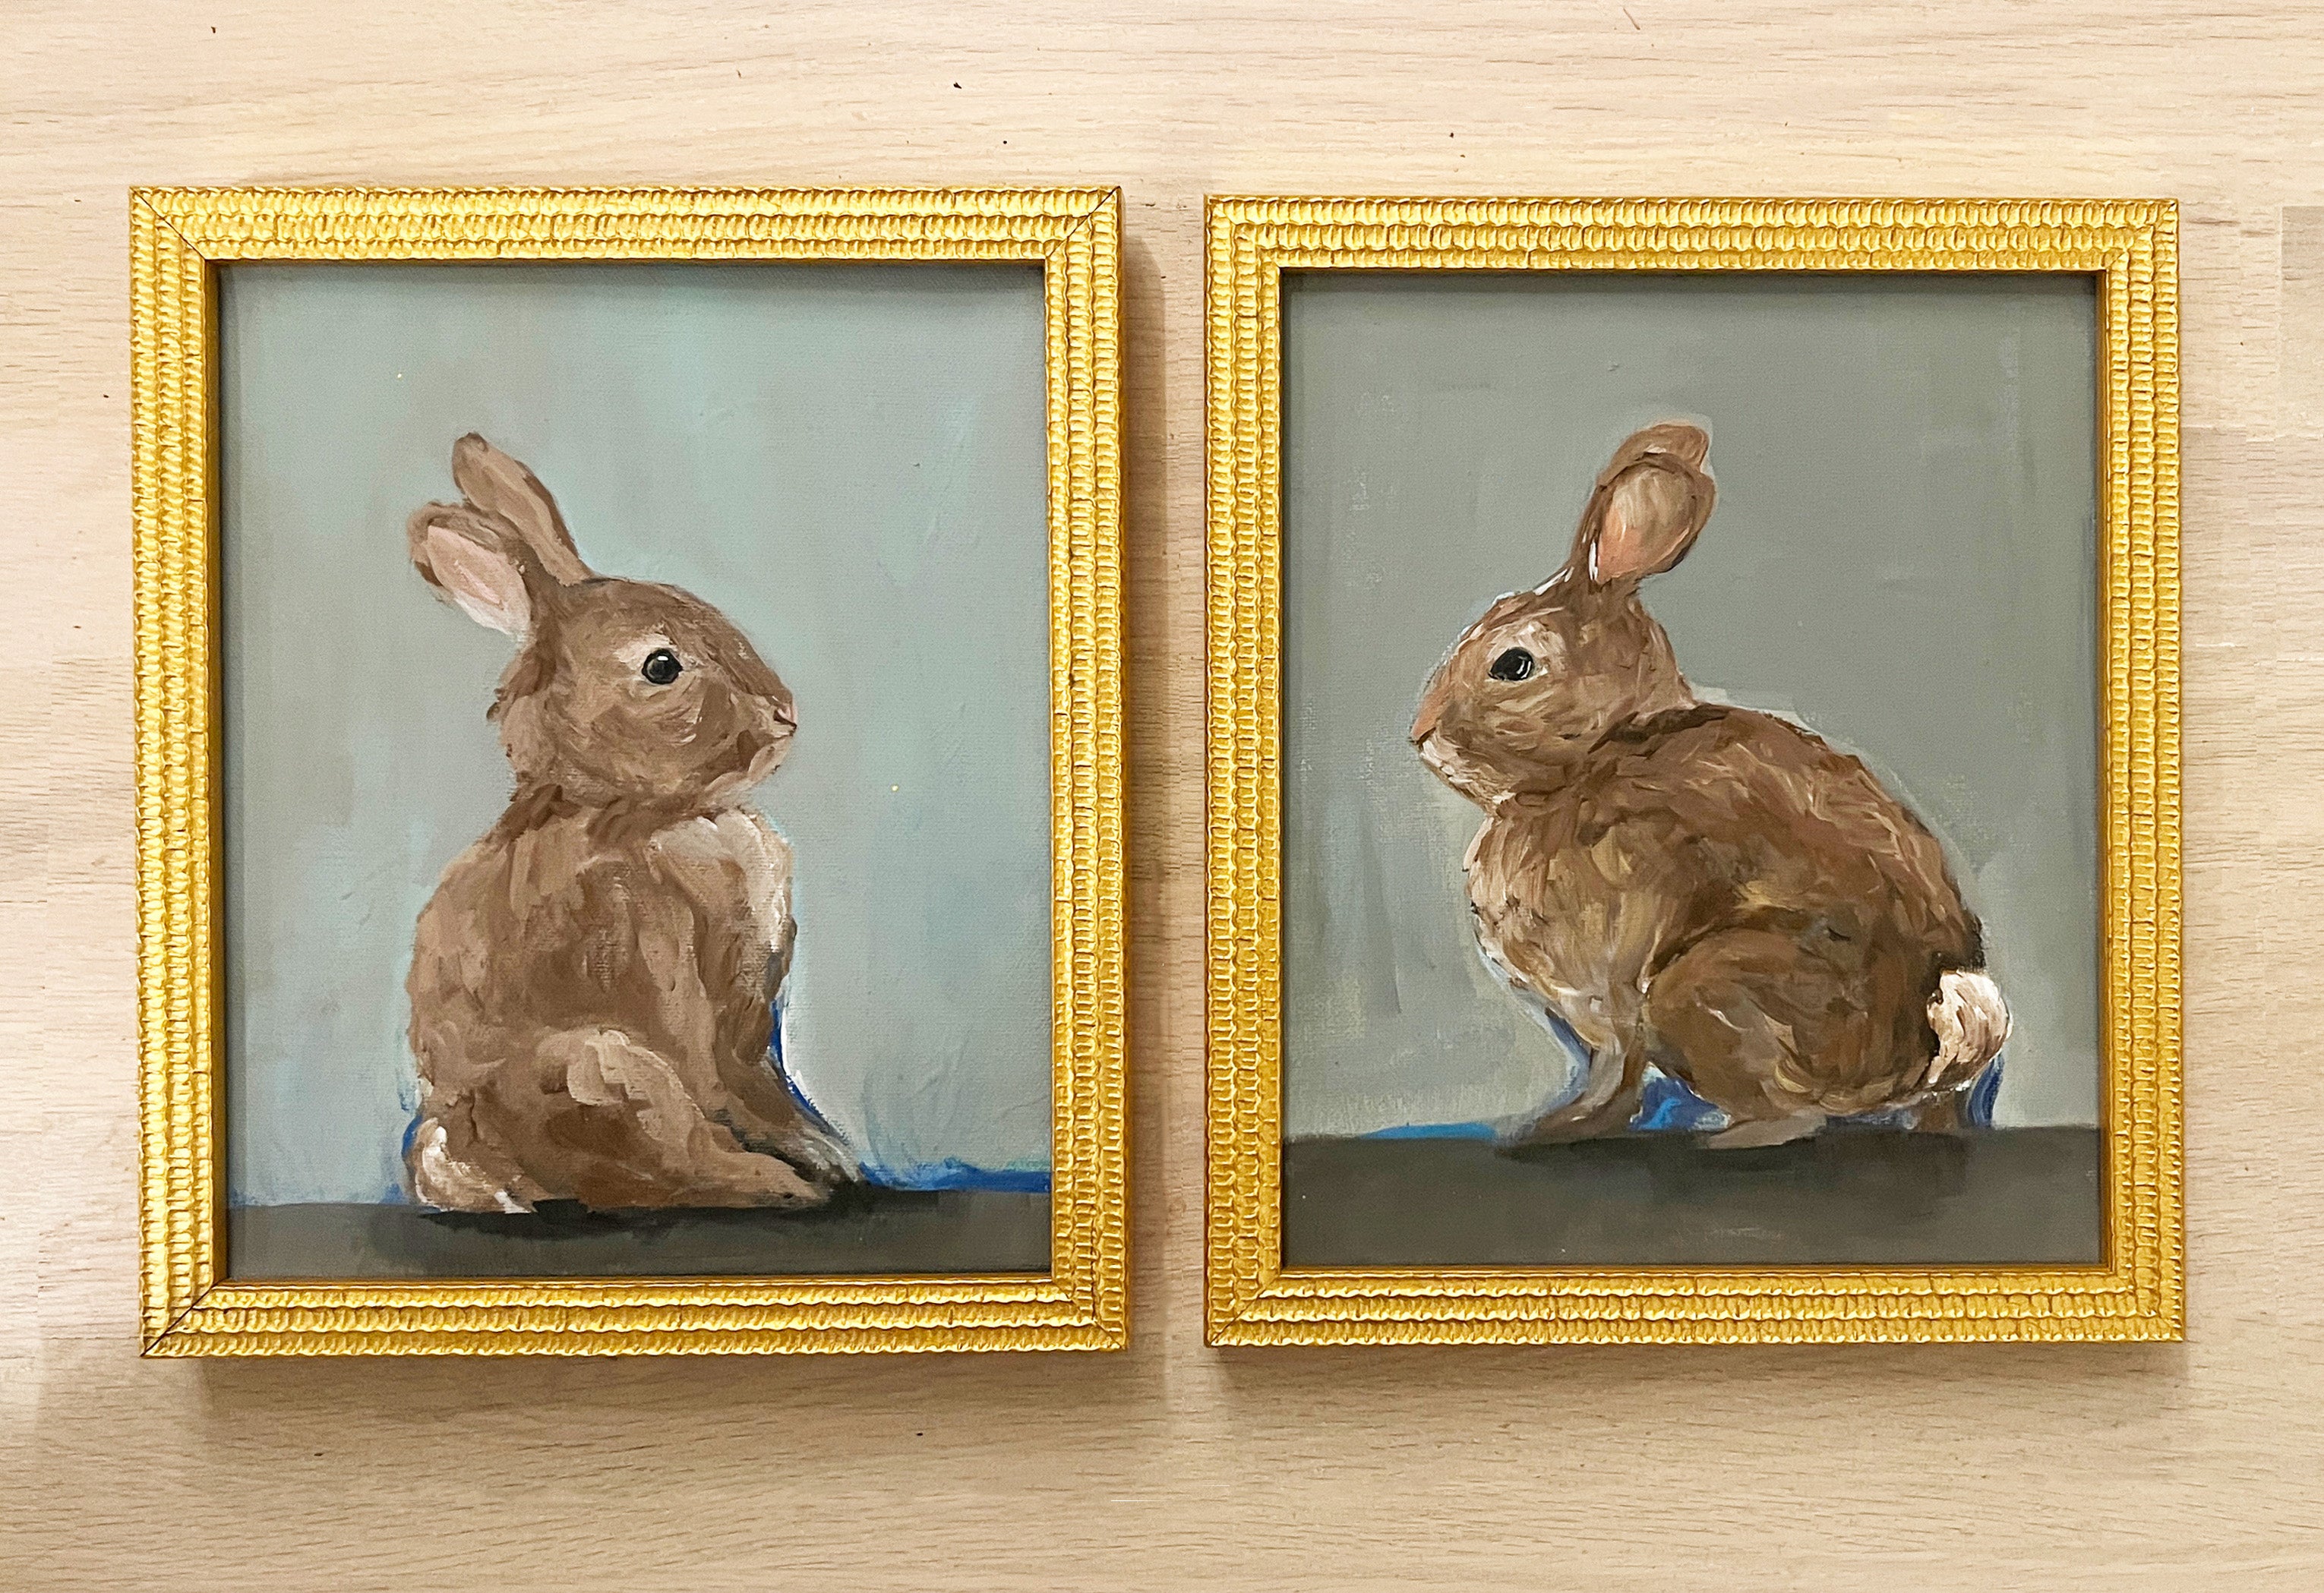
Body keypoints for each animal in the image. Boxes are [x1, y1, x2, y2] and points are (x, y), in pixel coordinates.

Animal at [401, 434, 856, 1211]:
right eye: (662, 667)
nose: (783, 716)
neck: (644, 815)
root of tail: (479, 1150)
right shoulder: (652, 949)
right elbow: (714, 1089)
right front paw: (814, 1167)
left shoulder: (753, 1025)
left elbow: (767, 1094)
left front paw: (830, 1152)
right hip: (603, 1069)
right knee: (668, 1161)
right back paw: (775, 1186)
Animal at [1410, 421, 2010, 1150]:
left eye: (1514, 664)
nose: (1419, 734)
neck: (1604, 752)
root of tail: (1929, 1037)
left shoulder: (1615, 996)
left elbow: (1615, 1079)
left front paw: (1552, 1130)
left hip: (1699, 988)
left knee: (1799, 1117)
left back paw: (1724, 1137)